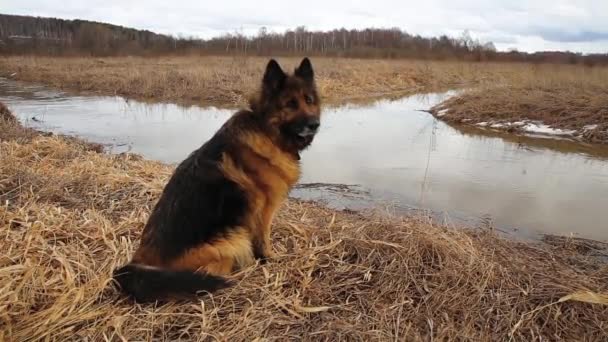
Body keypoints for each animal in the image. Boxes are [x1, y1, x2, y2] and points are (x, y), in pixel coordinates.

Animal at [114, 58, 324, 302]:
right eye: (290, 104)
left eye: (308, 100)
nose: (314, 124)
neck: (266, 131)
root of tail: (138, 266)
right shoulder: (264, 211)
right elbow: (263, 240)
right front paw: (269, 259)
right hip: (233, 239)